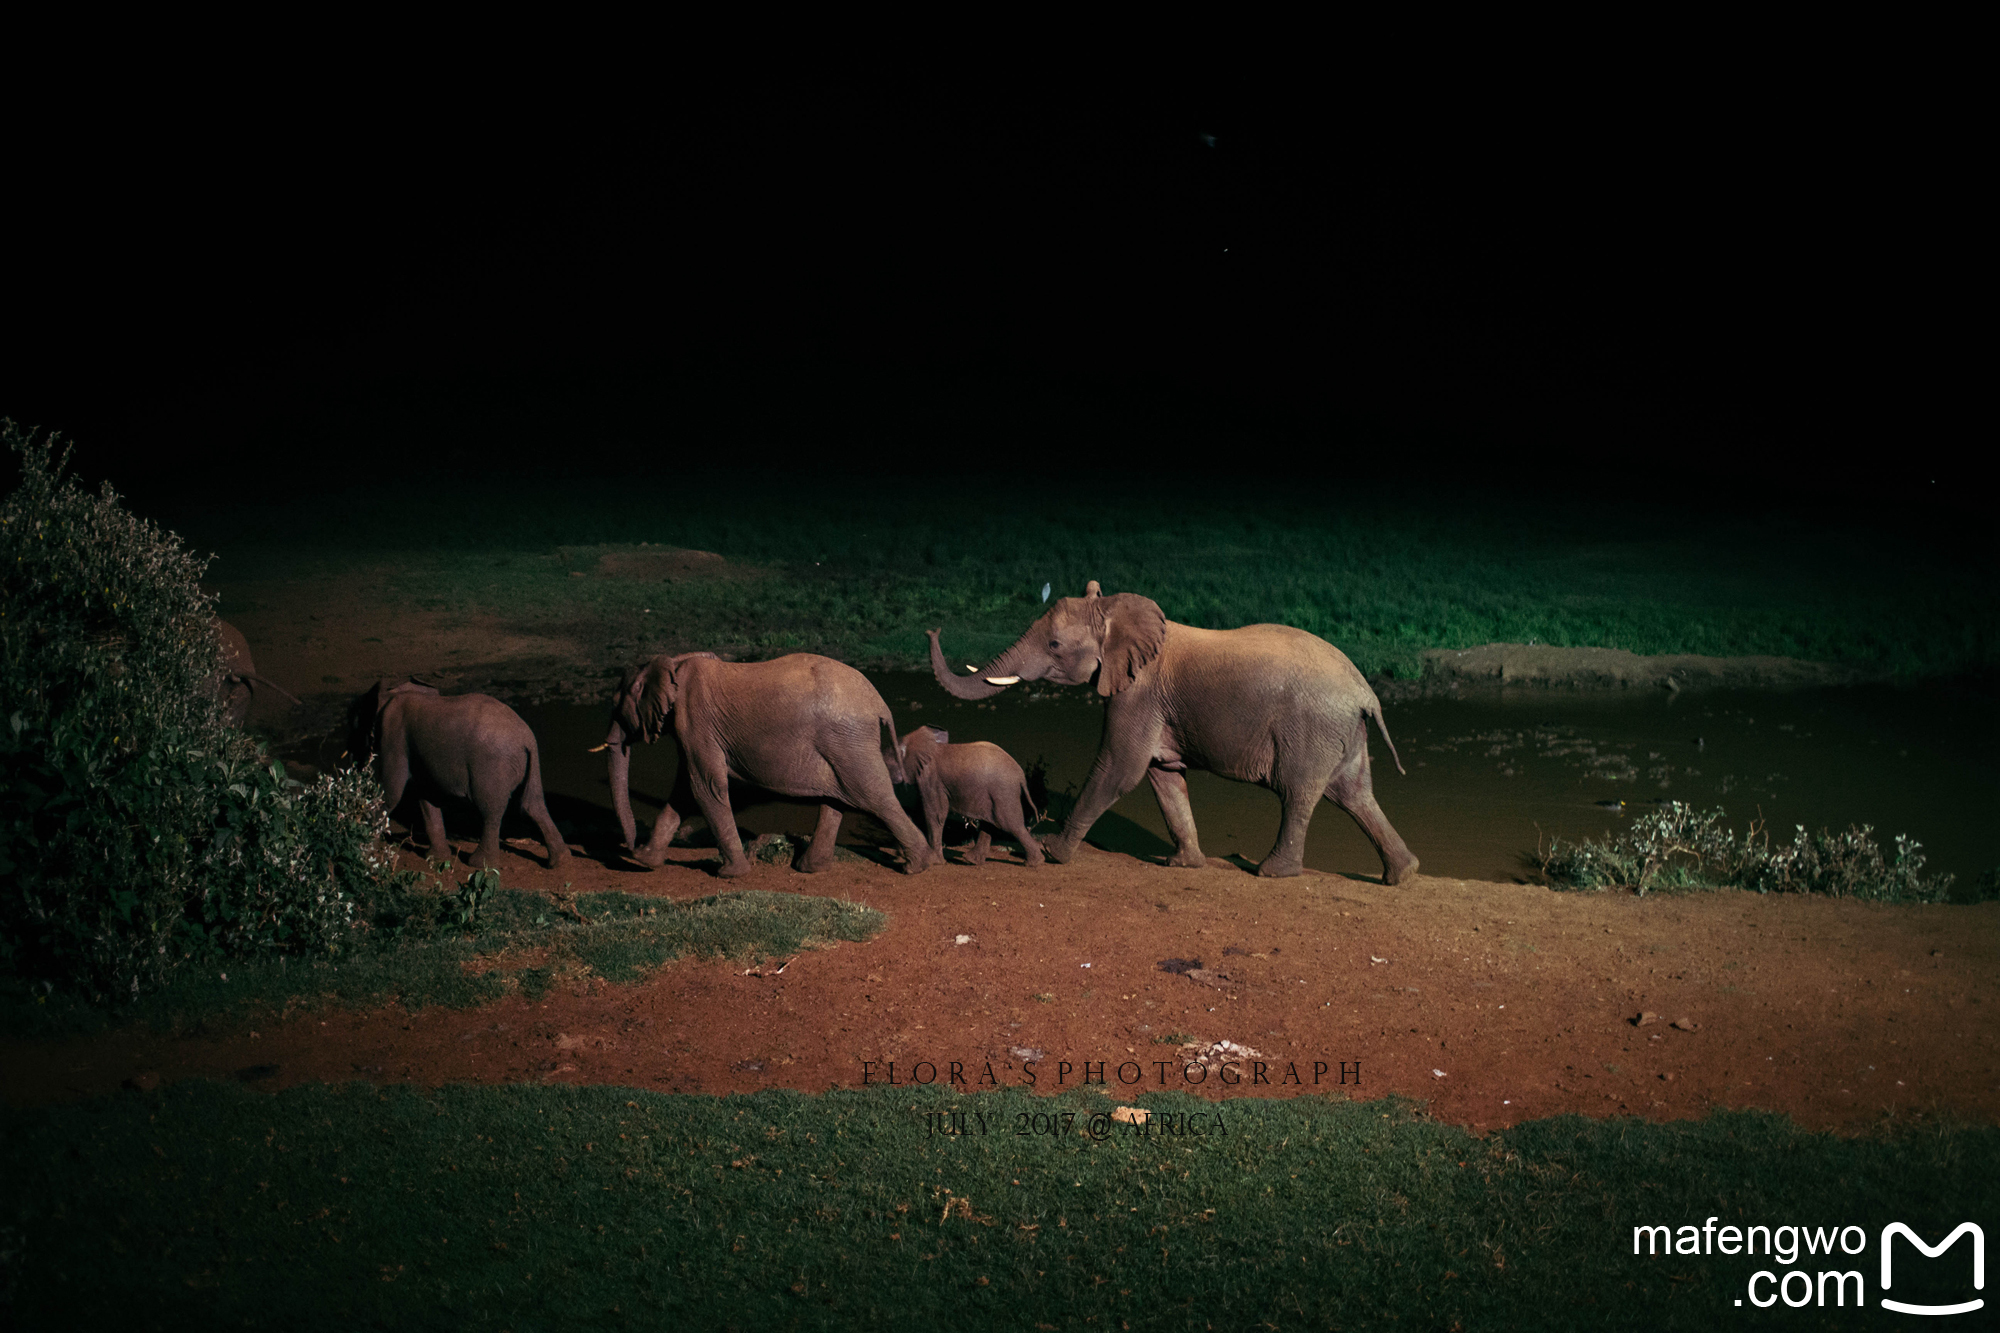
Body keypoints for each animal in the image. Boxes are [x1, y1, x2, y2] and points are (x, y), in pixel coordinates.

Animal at [346, 680, 572, 868]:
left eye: (355, 726)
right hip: (530, 764)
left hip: (491, 766)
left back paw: (479, 864)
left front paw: (365, 847)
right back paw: (559, 862)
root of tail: (526, 739)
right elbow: (426, 795)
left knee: (489, 809)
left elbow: (390, 791)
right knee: (533, 804)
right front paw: (436, 860)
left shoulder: (394, 736)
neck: (392, 691)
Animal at [596, 652, 932, 872]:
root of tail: (881, 704)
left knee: (873, 796)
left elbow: (705, 786)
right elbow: (685, 789)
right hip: (842, 743)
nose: (630, 846)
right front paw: (646, 861)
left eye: (615, 704)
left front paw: (731, 874)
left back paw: (917, 867)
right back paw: (809, 868)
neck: (672, 663)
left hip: (848, 738)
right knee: (839, 797)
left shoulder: (694, 720)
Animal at [888, 720, 1048, 868]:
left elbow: (935, 814)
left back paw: (1033, 863)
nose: (897, 854)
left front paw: (936, 862)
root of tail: (1022, 777)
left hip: (1004, 792)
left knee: (1010, 824)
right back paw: (971, 860)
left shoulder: (930, 778)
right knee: (991, 822)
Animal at [924, 576, 1416, 876]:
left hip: (1311, 728)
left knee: (1299, 793)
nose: (933, 630)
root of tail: (1367, 692)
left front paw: (1051, 852)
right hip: (1344, 732)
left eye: (1055, 645)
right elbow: (1163, 776)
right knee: (1354, 795)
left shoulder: (1138, 694)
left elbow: (1119, 770)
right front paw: (1184, 864)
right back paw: (1402, 874)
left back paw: (1271, 872)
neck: (1115, 610)